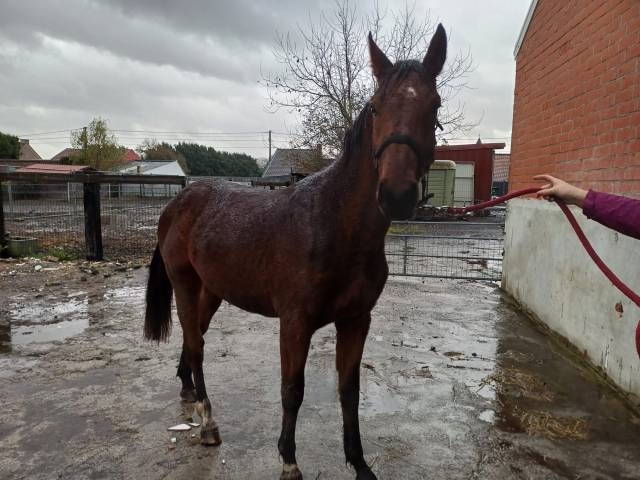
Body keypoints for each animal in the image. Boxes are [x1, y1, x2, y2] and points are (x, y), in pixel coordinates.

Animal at [144, 25, 447, 480]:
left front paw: (360, 464)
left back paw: (189, 394)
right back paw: (208, 419)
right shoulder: (295, 322)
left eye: (435, 105)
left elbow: (349, 391)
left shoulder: (356, 320)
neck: (333, 224)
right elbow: (292, 390)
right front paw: (288, 460)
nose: (395, 194)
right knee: (196, 344)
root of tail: (178, 203)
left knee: (193, 337)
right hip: (184, 283)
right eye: (377, 107)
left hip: (211, 292)